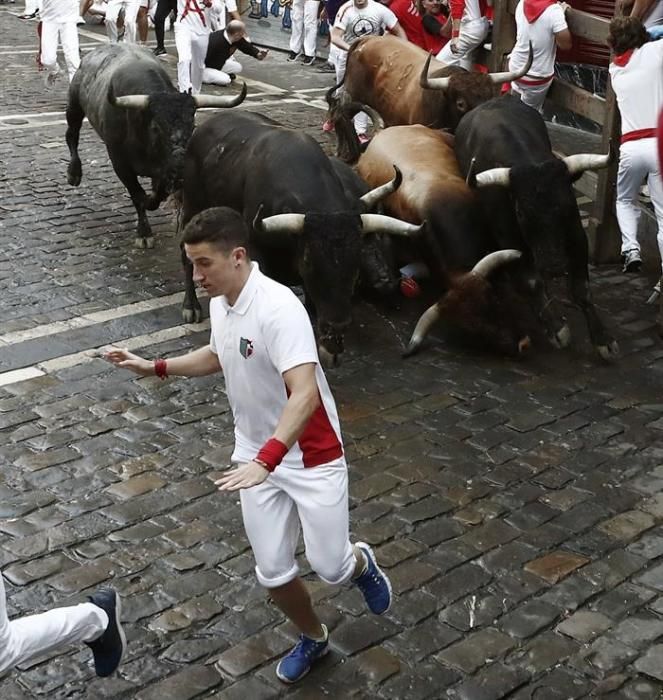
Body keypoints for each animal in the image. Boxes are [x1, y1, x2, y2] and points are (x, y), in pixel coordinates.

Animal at [65, 43, 246, 249]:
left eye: (192, 125)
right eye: (156, 127)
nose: (180, 168)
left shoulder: (163, 170)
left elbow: (157, 195)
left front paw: (150, 199)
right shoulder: (120, 163)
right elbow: (137, 195)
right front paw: (144, 233)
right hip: (74, 107)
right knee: (71, 135)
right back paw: (74, 173)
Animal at [179, 112, 422, 364]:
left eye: (356, 265)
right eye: (309, 262)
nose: (338, 325)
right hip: (192, 207)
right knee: (185, 254)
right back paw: (191, 306)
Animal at [456, 97, 616, 360]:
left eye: (568, 205)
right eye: (521, 212)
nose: (554, 266)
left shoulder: (577, 236)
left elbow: (581, 288)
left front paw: (603, 340)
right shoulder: (510, 242)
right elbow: (531, 283)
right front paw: (557, 329)